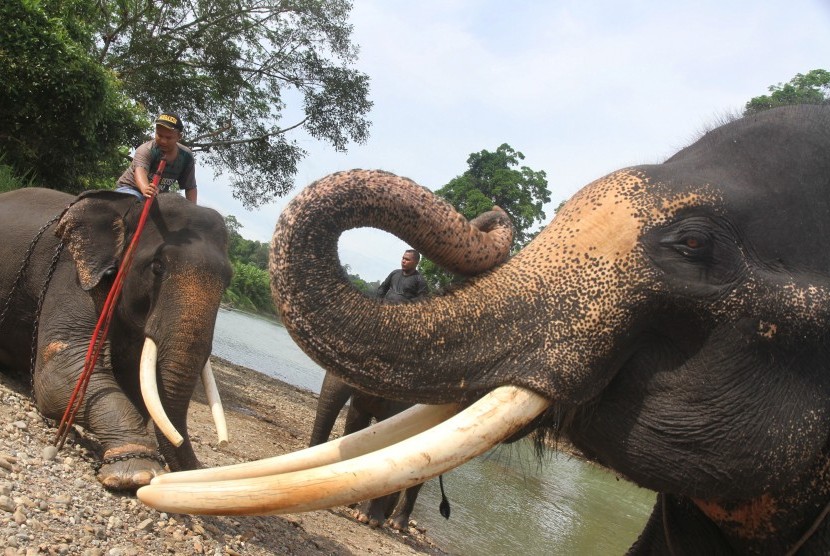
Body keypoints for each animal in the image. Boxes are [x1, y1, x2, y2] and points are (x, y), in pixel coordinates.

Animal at [0, 189, 232, 488]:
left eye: (228, 281)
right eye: (157, 266)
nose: (196, 471)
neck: (127, 209)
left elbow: (136, 383)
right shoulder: (74, 272)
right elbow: (62, 371)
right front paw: (137, 472)